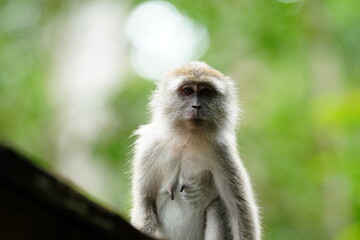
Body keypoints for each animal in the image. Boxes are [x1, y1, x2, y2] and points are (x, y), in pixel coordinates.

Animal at [131, 62, 260, 240]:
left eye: (206, 92)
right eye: (187, 90)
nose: (196, 106)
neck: (186, 139)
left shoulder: (222, 151)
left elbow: (238, 210)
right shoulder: (148, 147)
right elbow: (145, 201)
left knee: (217, 207)